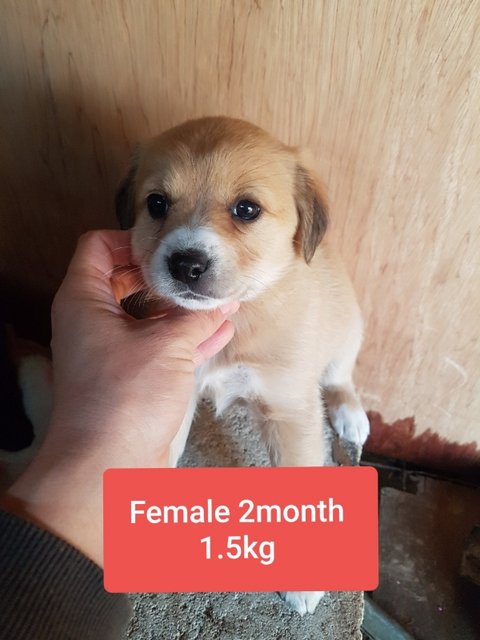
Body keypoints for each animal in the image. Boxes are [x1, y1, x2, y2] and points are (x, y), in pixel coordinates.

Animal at [116, 116, 369, 615]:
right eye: (156, 203)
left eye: (246, 209)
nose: (186, 264)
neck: (238, 319)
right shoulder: (176, 390)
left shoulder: (291, 412)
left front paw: (305, 582)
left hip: (346, 334)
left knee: (340, 376)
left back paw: (350, 413)